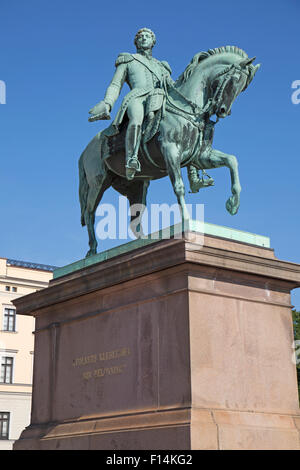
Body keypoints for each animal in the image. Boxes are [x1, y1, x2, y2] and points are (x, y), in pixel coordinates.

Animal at [79, 46, 260, 255]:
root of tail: (85, 151)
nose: (222, 110)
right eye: (235, 79)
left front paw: (233, 203)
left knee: (135, 217)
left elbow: (232, 161)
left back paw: (142, 241)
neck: (188, 109)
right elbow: (179, 187)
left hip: (136, 186)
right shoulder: (171, 152)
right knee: (90, 212)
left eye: (243, 87)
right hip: (98, 182)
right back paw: (92, 250)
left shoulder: (202, 156)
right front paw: (187, 220)